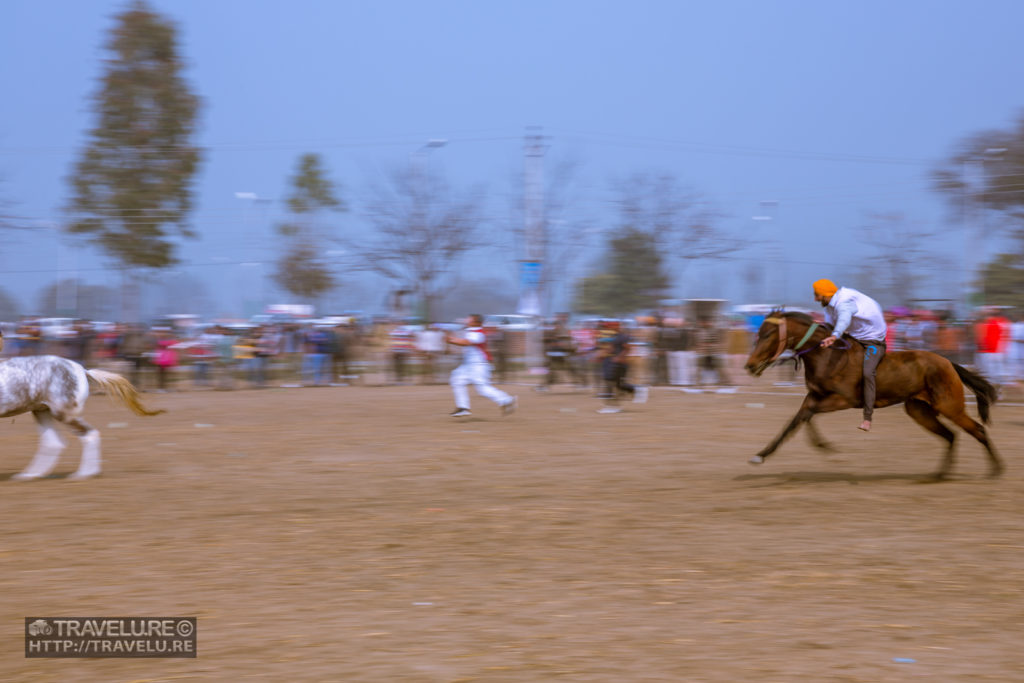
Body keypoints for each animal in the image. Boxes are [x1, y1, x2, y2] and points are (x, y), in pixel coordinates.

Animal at [0, 333, 161, 479]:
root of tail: (82, 370)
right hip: (41, 411)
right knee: (53, 442)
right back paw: (30, 475)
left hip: (64, 414)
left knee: (89, 434)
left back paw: (83, 474)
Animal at [745, 311, 999, 481]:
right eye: (758, 334)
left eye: (768, 334)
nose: (750, 365)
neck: (827, 355)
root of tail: (948, 362)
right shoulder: (814, 396)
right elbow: (796, 421)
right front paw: (760, 455)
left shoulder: (843, 399)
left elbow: (807, 414)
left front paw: (826, 446)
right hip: (919, 410)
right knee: (950, 435)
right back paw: (939, 474)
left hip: (950, 406)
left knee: (977, 430)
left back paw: (996, 470)